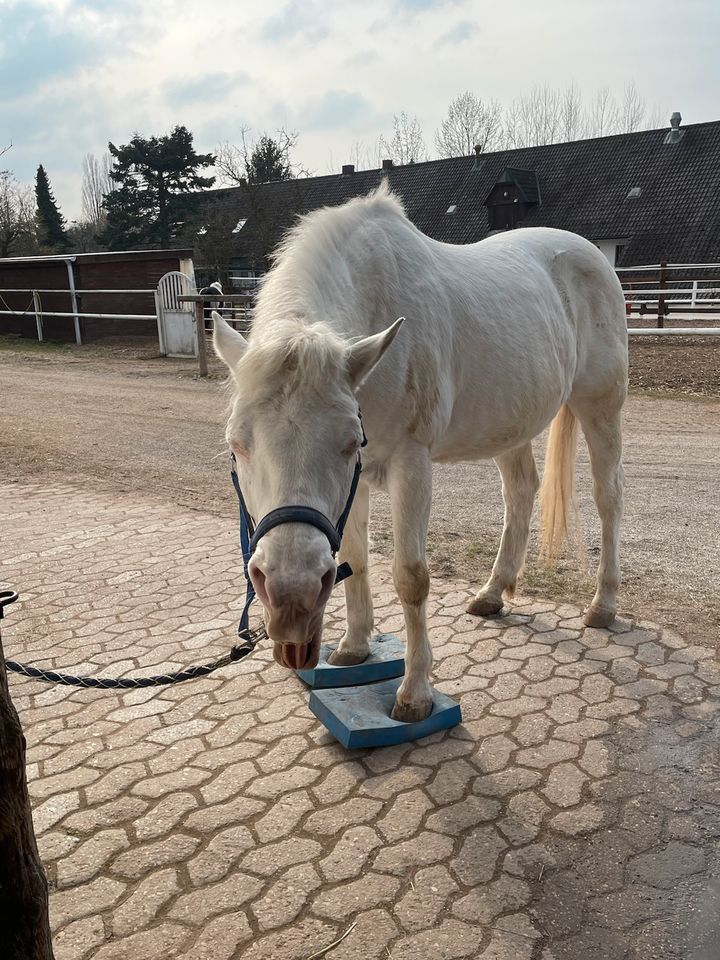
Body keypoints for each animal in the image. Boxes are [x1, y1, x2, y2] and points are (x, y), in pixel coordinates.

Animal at [211, 186, 628, 720]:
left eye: (349, 441)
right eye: (236, 444)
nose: (292, 592)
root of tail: (591, 256)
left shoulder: (410, 465)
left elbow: (410, 577)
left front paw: (414, 694)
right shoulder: (358, 483)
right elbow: (355, 557)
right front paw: (354, 647)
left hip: (600, 407)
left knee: (607, 497)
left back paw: (603, 605)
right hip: (511, 422)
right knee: (520, 491)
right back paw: (493, 592)